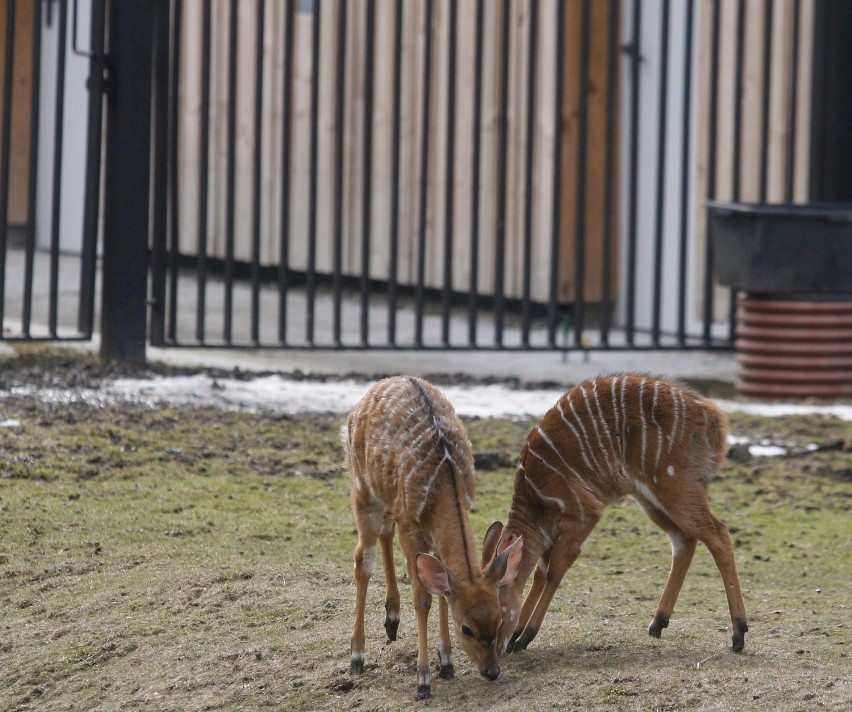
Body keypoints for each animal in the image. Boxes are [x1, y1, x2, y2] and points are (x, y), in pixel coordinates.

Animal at [342, 376, 524, 700]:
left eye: (500, 619)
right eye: (467, 628)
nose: (492, 672)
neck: (444, 484)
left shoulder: (431, 534)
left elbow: (443, 589)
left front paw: (447, 663)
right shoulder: (411, 527)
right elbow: (423, 598)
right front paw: (423, 680)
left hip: (387, 499)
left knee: (384, 534)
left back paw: (392, 621)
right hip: (362, 489)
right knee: (363, 558)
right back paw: (357, 657)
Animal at [482, 376, 748, 660]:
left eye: (497, 615)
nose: (495, 651)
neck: (536, 497)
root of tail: (711, 415)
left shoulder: (583, 516)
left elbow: (553, 571)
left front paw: (524, 636)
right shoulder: (551, 533)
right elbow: (540, 573)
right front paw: (517, 636)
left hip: (675, 487)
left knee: (718, 533)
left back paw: (738, 634)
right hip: (650, 498)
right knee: (684, 541)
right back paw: (657, 623)